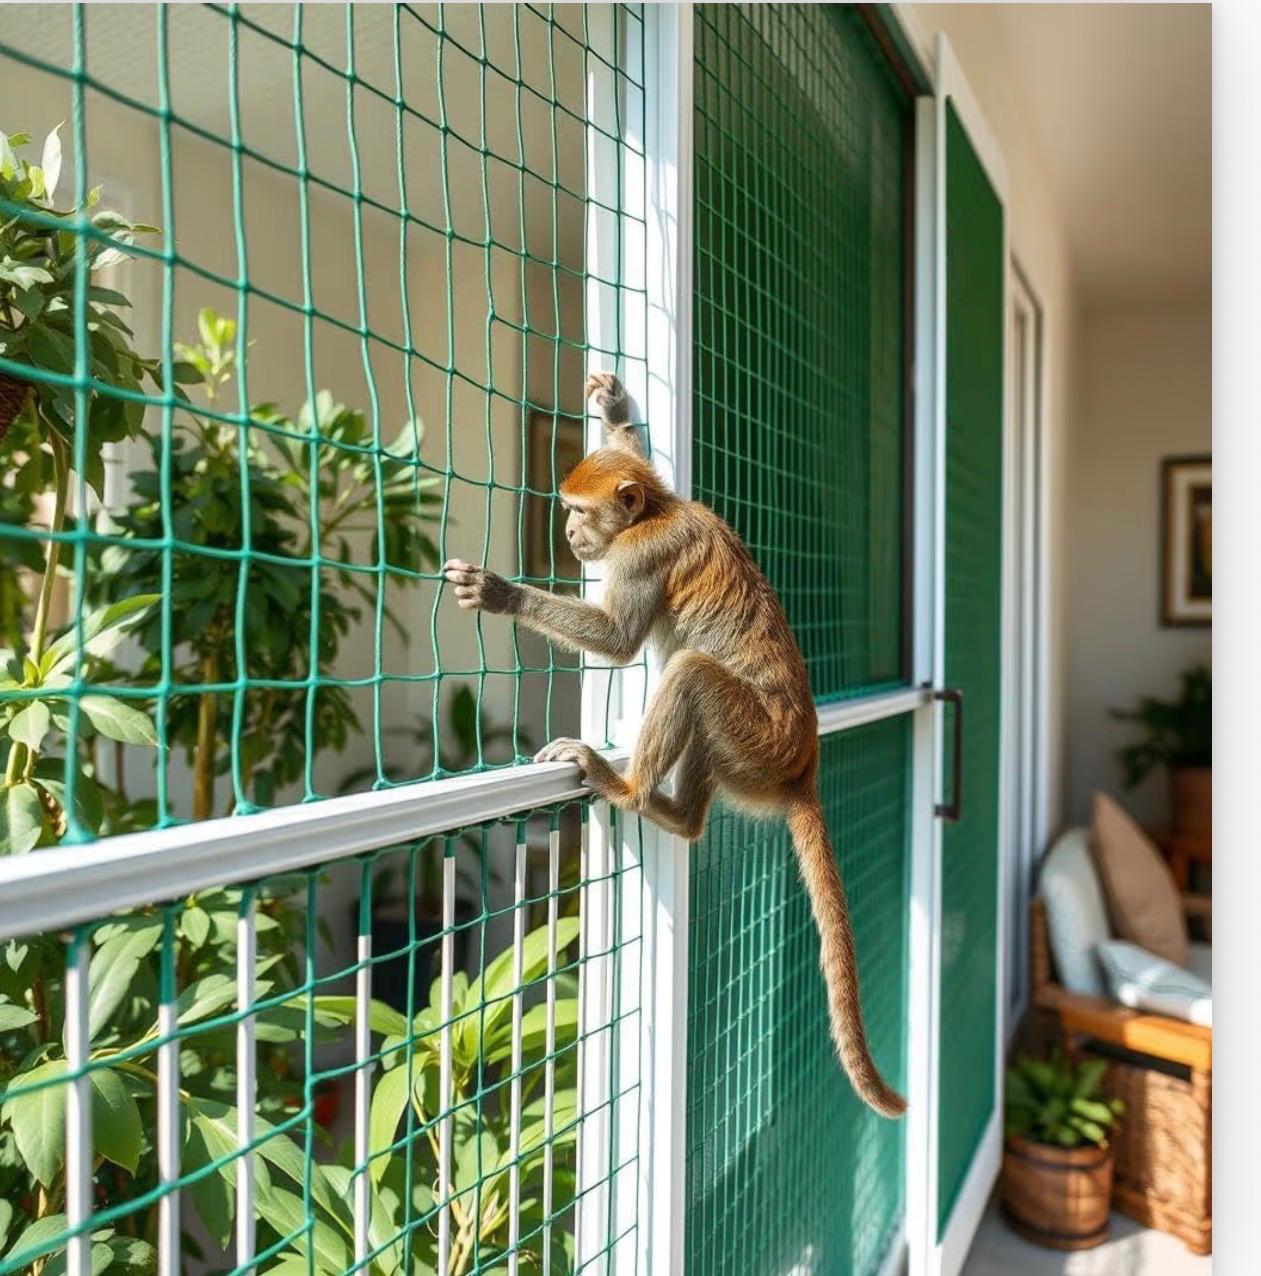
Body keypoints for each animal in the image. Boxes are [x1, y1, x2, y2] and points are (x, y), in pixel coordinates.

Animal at [443, 371, 906, 1119]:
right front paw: (615, 413)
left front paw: (500, 594)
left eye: (577, 510)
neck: (655, 512)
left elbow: (618, 639)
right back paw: (679, 814)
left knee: (689, 673)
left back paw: (629, 789)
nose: (567, 530)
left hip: (757, 735)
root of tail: (802, 761)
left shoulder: (639, 556)